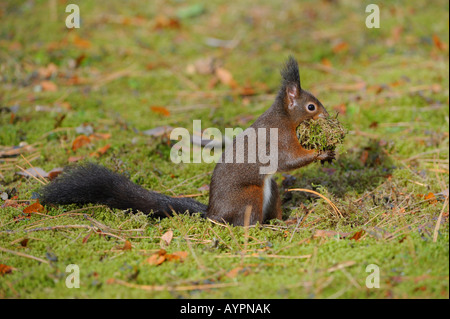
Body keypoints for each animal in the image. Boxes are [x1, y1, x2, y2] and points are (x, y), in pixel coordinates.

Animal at [38, 57, 334, 228]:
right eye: (311, 106)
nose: (327, 114)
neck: (283, 116)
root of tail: (212, 213)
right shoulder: (279, 139)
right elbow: (290, 159)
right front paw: (320, 151)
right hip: (250, 195)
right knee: (242, 223)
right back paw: (263, 227)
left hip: (270, 190)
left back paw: (286, 220)